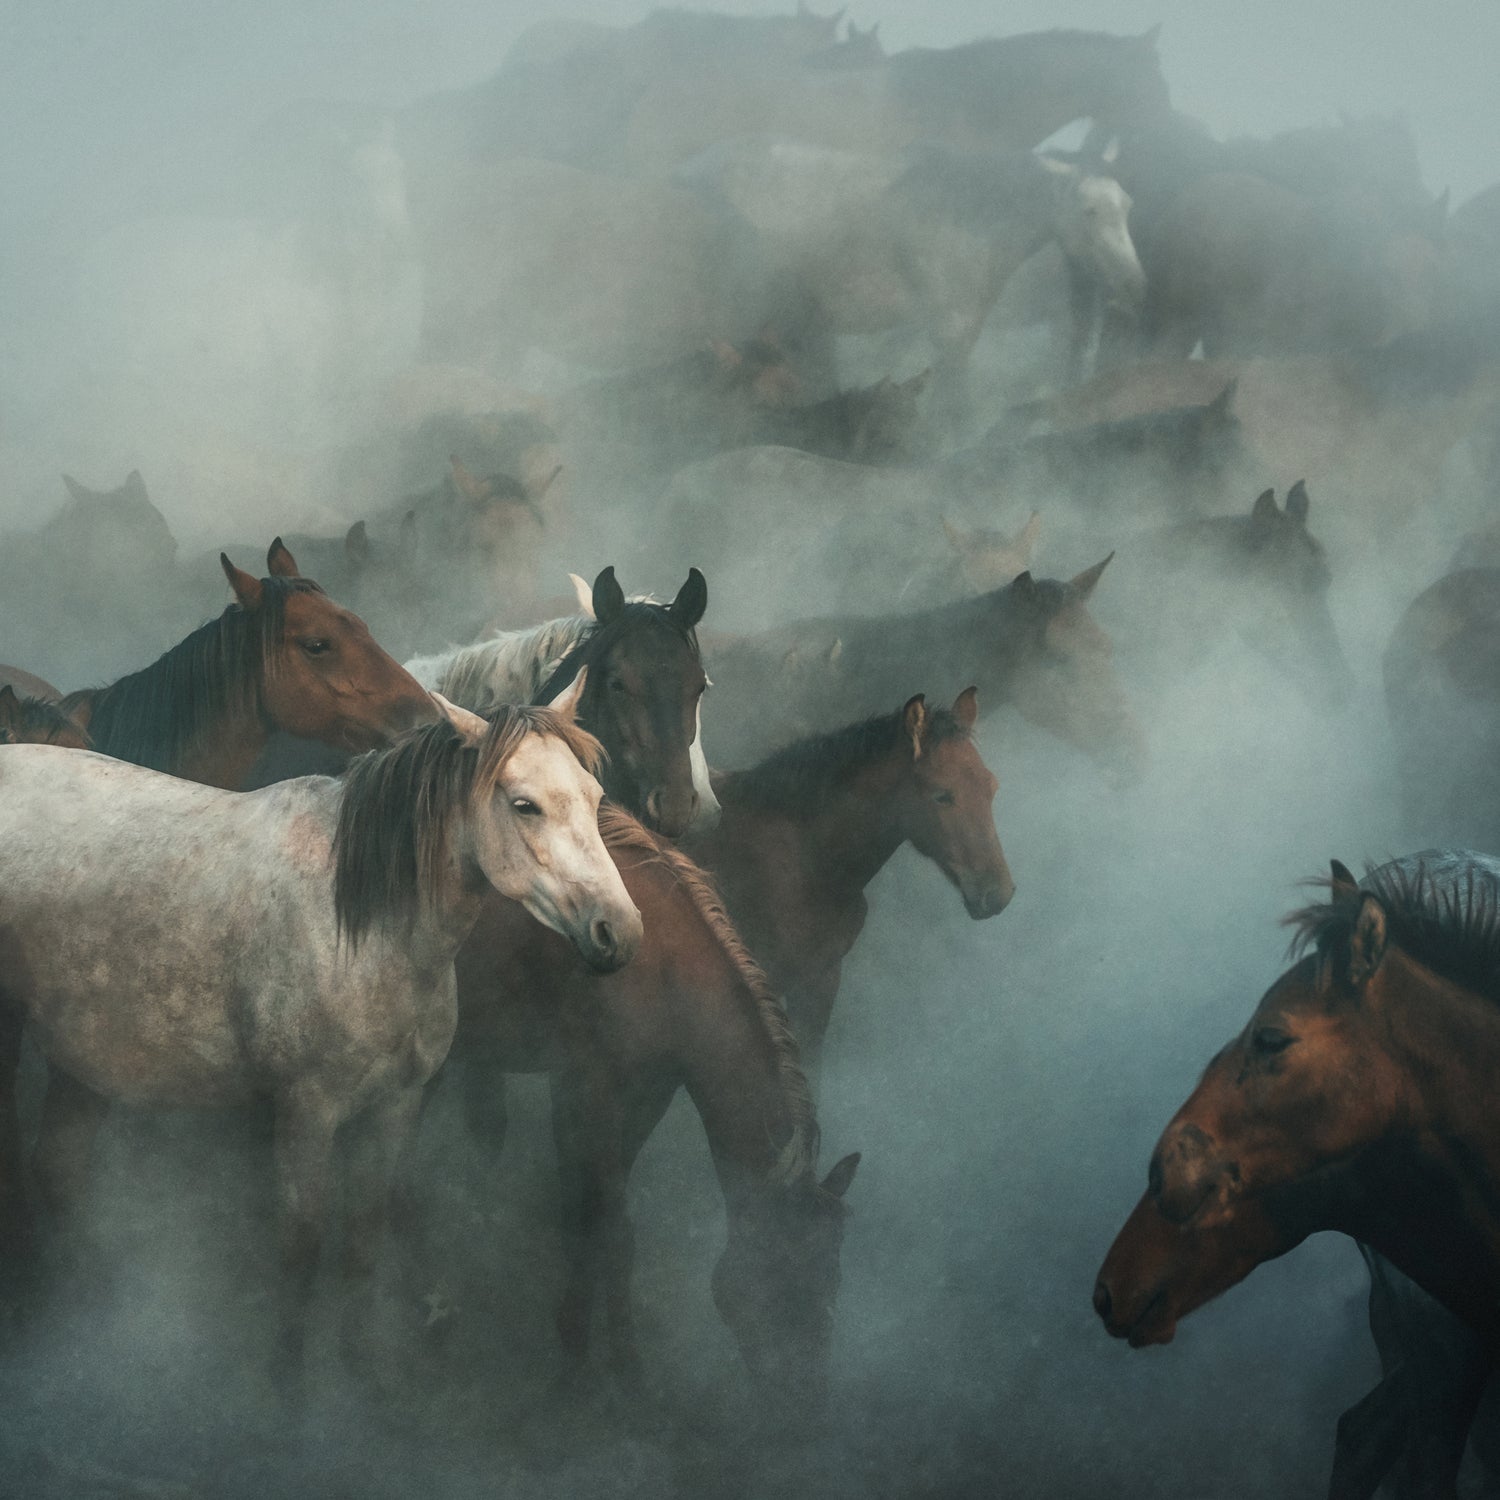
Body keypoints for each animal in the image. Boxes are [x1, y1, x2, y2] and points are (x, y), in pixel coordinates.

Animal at [0, 695, 641, 1390]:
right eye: (525, 805)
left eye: (594, 797)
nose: (620, 933)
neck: (363, 929)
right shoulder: (307, 1113)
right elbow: (301, 1247)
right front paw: (289, 1388)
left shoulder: (395, 1105)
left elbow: (363, 1236)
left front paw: (360, 1372)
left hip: (84, 1058)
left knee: (58, 1173)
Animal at [446, 803, 858, 1416]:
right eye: (782, 1279)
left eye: (833, 1278)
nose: (808, 1400)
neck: (664, 964)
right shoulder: (586, 1092)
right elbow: (606, 1228)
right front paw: (605, 1370)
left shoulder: (645, 1096)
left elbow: (594, 1219)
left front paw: (592, 1349)